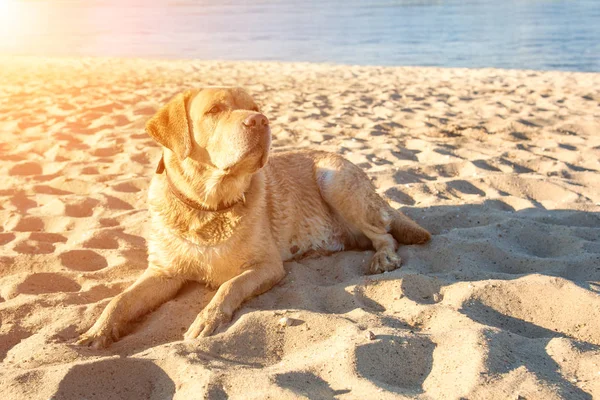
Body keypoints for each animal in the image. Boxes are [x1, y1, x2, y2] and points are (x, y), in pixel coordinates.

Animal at [77, 86, 428, 346]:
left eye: (256, 106)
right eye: (214, 111)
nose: (260, 120)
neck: (208, 208)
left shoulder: (266, 266)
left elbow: (227, 287)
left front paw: (207, 320)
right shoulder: (164, 272)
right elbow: (120, 300)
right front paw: (97, 331)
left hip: (333, 179)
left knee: (385, 234)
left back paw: (383, 258)